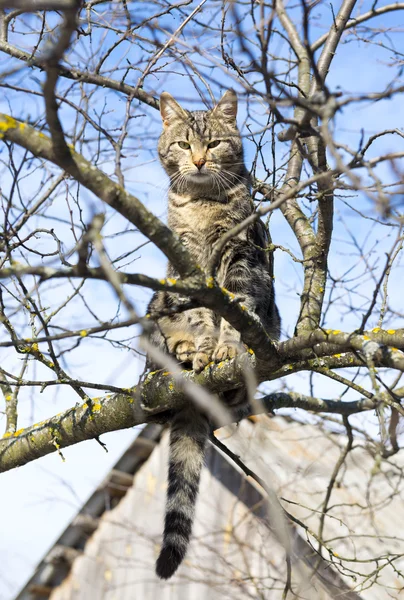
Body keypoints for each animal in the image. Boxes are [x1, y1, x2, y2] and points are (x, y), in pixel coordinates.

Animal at [146, 90, 280, 580]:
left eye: (216, 143)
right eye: (185, 144)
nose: (201, 160)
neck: (203, 205)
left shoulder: (241, 259)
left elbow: (234, 312)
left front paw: (224, 349)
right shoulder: (188, 269)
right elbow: (204, 316)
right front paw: (202, 348)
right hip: (155, 305)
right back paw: (181, 351)